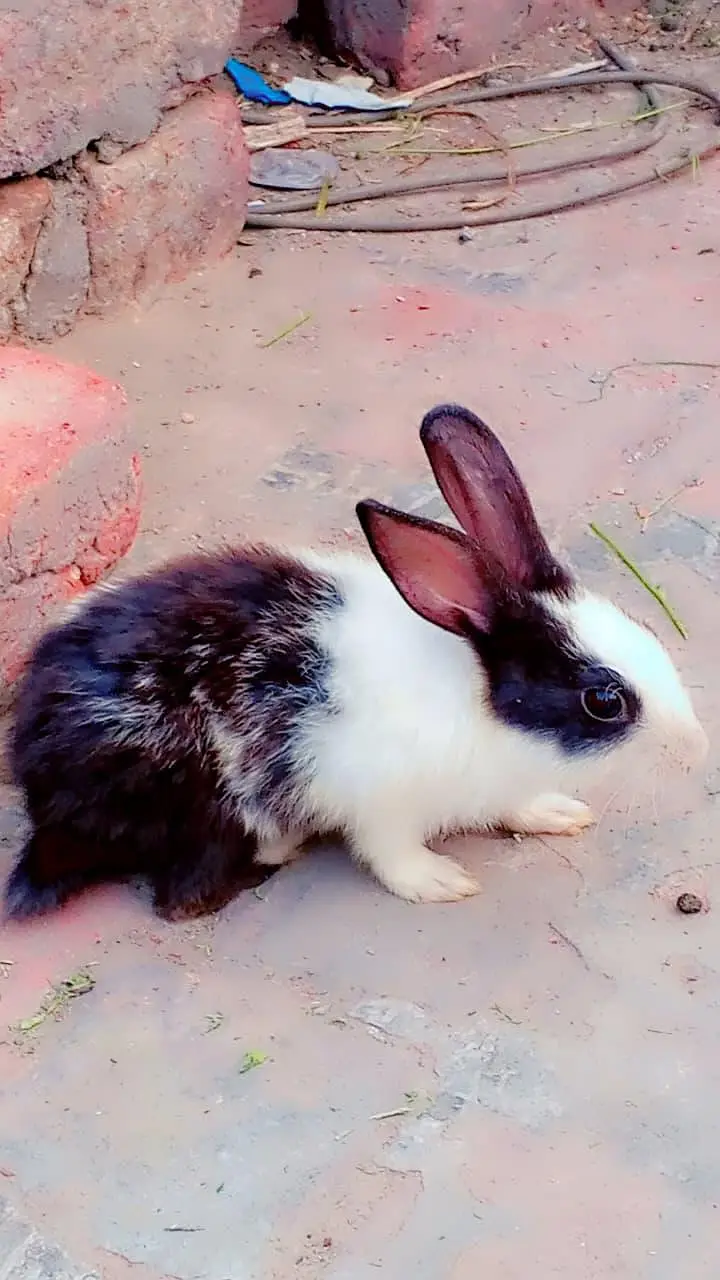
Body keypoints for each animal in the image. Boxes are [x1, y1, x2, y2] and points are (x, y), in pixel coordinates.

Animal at [3, 403, 707, 922]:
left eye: (645, 632)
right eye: (604, 700)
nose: (695, 747)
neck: (481, 702)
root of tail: (40, 796)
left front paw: (556, 813)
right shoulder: (378, 802)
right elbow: (390, 854)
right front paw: (439, 881)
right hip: (210, 796)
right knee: (182, 900)